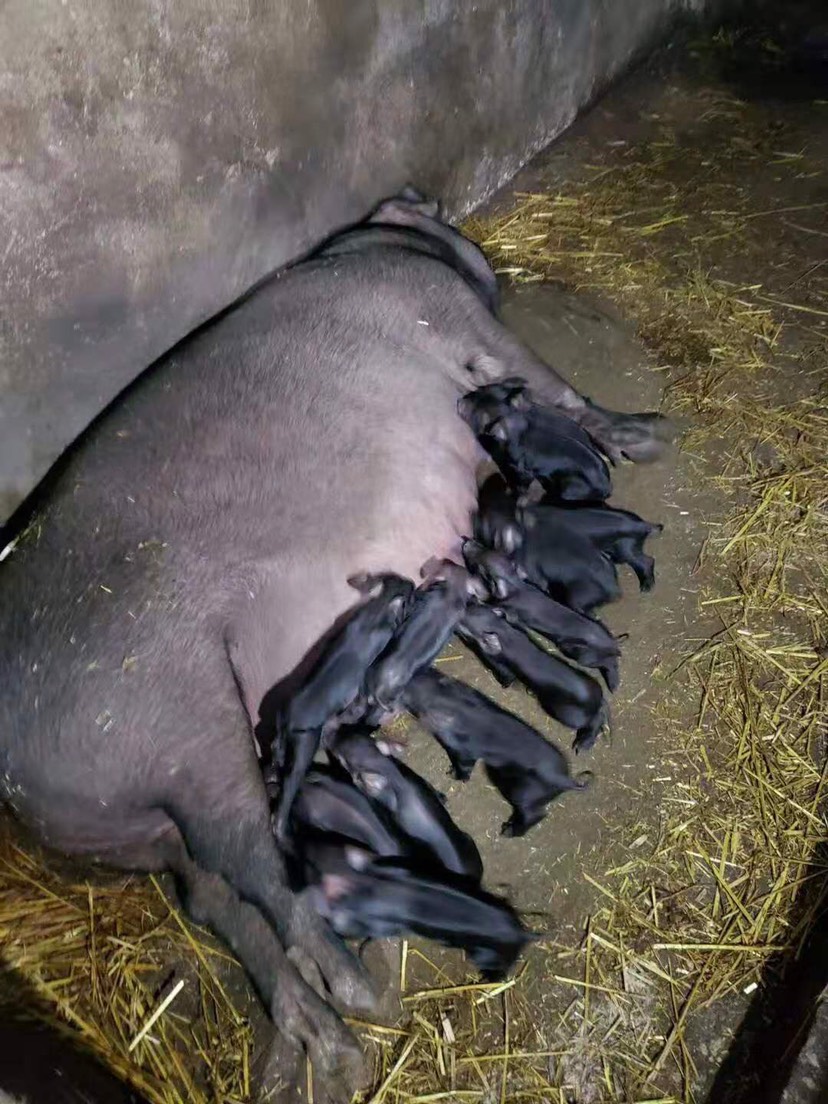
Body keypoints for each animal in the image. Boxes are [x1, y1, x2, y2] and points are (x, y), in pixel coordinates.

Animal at [0, 189, 666, 1095]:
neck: (366, 249)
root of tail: (19, 773)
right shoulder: (453, 317)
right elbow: (551, 379)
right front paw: (648, 433)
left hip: (140, 830)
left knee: (217, 899)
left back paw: (327, 1045)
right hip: (174, 721)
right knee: (261, 870)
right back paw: (369, 1001)